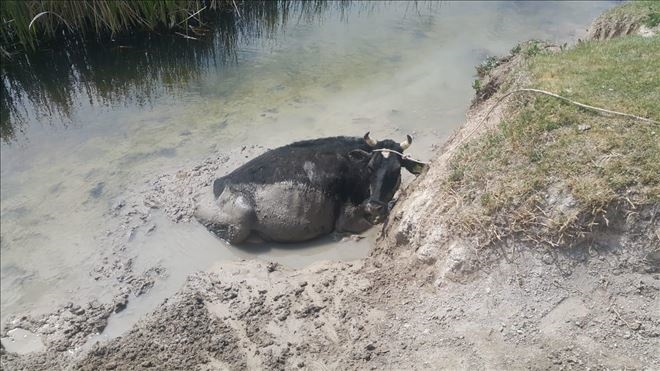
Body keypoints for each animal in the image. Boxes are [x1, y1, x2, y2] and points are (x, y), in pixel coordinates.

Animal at [193, 132, 428, 246]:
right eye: (370, 166)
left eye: (396, 170)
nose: (374, 206)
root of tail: (218, 183)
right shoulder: (348, 218)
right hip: (241, 215)